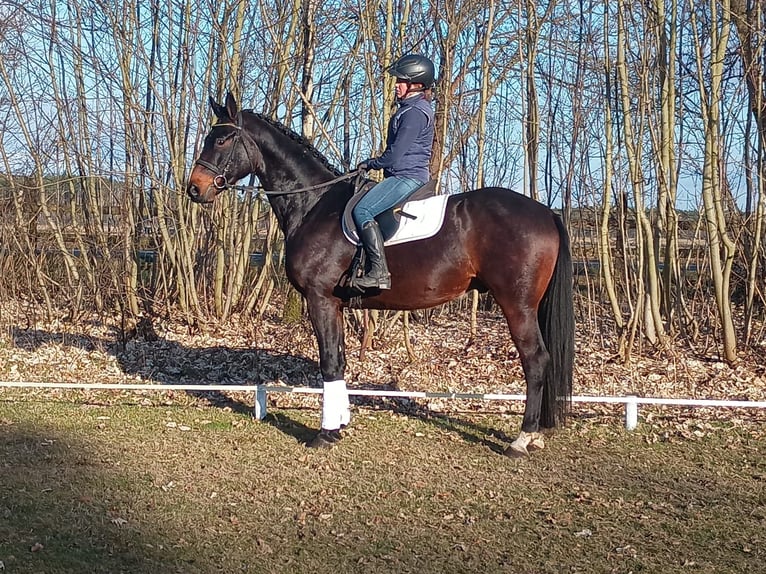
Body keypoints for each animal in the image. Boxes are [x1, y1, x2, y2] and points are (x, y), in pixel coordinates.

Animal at [186, 93, 574, 458]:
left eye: (221, 140)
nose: (194, 188)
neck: (314, 203)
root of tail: (546, 212)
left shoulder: (319, 299)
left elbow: (329, 363)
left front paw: (324, 434)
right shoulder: (335, 304)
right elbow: (340, 360)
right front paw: (340, 424)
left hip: (517, 304)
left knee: (535, 360)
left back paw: (522, 440)